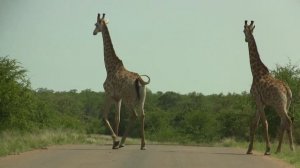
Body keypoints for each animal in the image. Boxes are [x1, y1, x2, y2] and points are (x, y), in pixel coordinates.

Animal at [92, 13, 150, 150]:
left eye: (96, 24)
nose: (93, 32)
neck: (110, 67)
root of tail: (139, 80)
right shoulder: (118, 98)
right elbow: (117, 118)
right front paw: (115, 143)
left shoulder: (108, 93)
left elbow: (104, 116)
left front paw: (115, 141)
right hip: (141, 99)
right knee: (142, 115)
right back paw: (142, 144)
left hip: (129, 99)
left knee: (134, 115)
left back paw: (123, 142)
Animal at [243, 20, 294, 155]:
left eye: (243, 31)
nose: (245, 39)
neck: (256, 72)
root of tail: (287, 91)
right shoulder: (262, 102)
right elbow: (254, 124)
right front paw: (249, 149)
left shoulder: (257, 99)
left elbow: (264, 123)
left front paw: (267, 149)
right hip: (286, 104)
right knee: (283, 122)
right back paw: (279, 149)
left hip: (278, 104)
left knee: (287, 120)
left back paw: (290, 148)